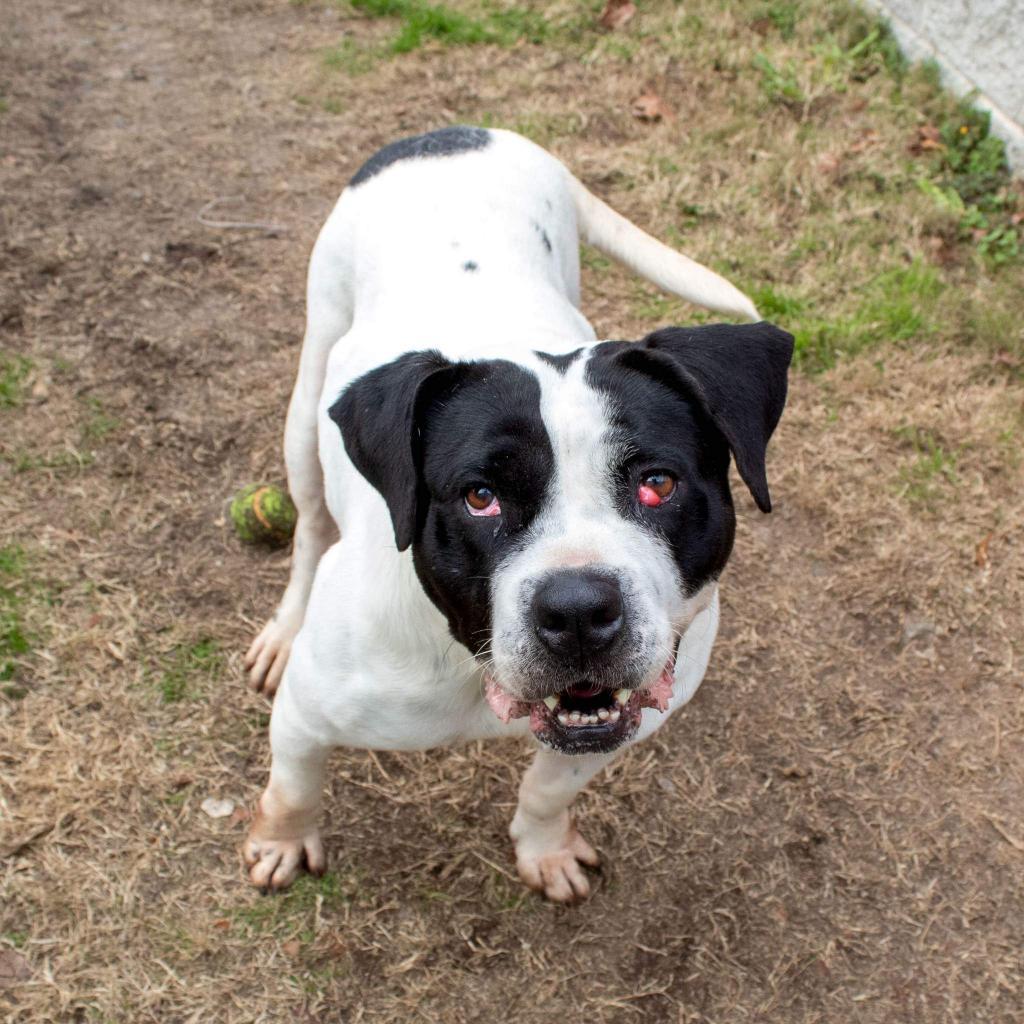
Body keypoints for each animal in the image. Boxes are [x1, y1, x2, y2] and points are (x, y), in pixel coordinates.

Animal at [239, 123, 790, 901]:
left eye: (657, 483)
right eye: (480, 496)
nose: (579, 611)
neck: (471, 668)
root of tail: (458, 131)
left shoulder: (623, 722)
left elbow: (550, 787)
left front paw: (544, 847)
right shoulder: (306, 715)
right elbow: (293, 786)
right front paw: (282, 843)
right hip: (308, 398)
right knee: (312, 526)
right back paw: (284, 630)